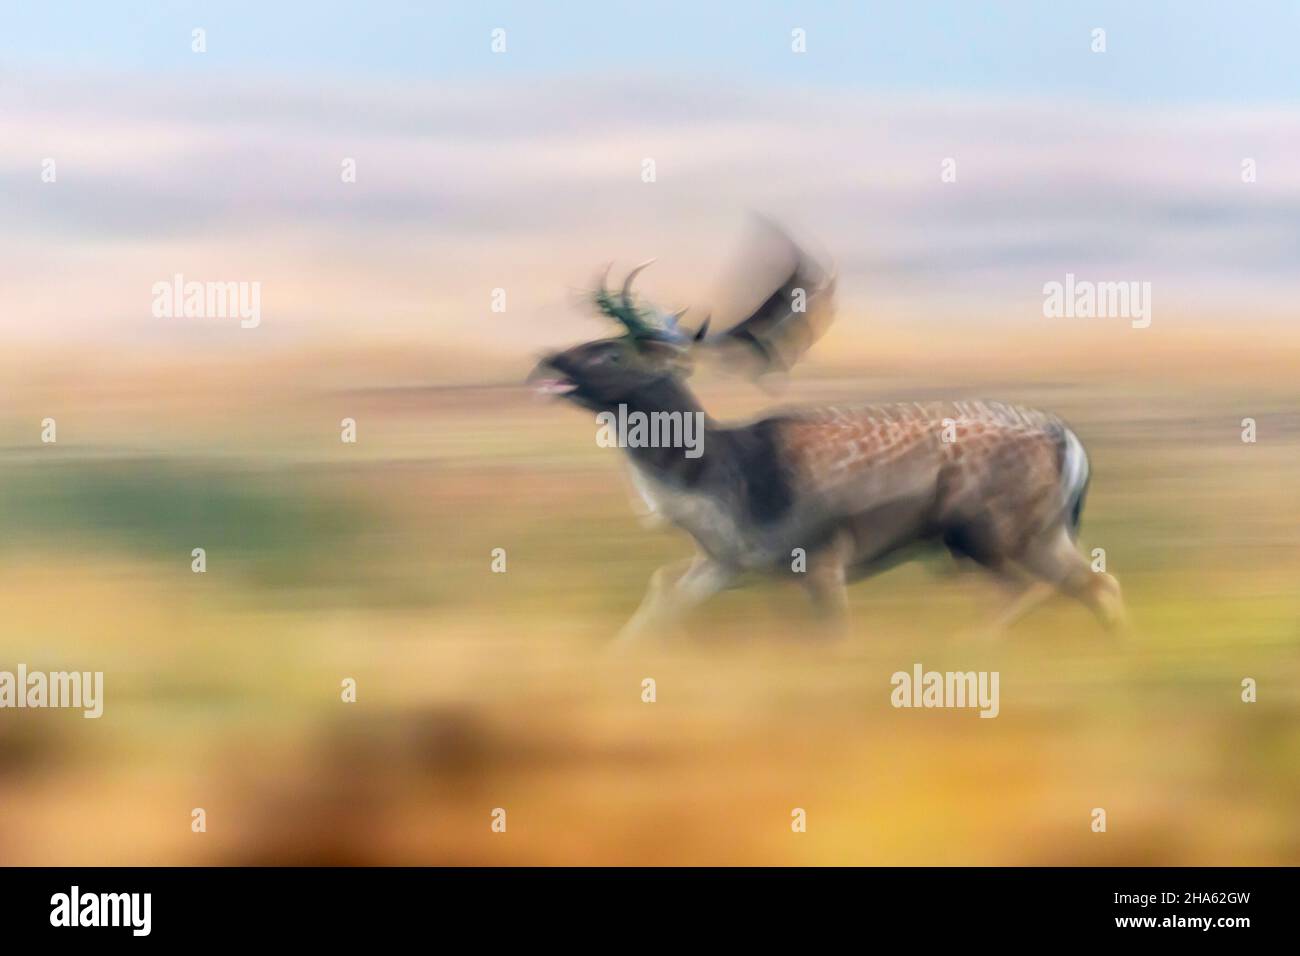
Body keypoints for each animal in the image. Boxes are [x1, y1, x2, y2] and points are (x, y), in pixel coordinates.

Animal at [527, 230, 1128, 642]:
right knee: (1095, 584)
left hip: (988, 531)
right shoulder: (729, 563)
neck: (724, 485)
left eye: (613, 352)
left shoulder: (819, 554)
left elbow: (834, 636)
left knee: (1033, 588)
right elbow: (661, 596)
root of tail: (1070, 443)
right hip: (1041, 533)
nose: (548, 358)